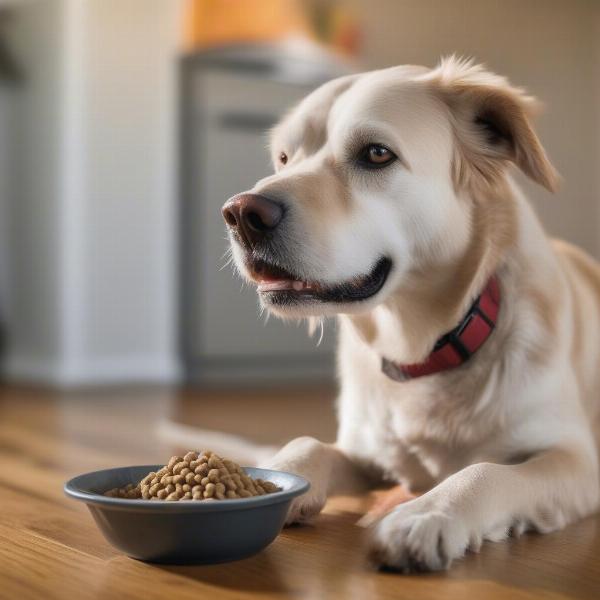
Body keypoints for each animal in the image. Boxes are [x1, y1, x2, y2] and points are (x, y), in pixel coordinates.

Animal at [220, 58, 600, 576]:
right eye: (283, 158)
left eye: (377, 154)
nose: (240, 214)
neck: (423, 350)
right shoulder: (365, 451)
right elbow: (306, 444)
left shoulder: (575, 459)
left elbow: (487, 471)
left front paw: (427, 514)